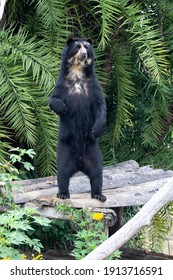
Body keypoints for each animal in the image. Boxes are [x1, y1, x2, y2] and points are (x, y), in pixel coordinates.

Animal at [48, 38, 106, 202]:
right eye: (77, 47)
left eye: (87, 47)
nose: (84, 53)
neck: (77, 72)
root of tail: (79, 163)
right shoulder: (62, 84)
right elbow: (53, 99)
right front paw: (62, 107)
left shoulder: (93, 85)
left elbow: (100, 105)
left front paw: (96, 130)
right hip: (65, 149)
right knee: (62, 173)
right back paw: (63, 193)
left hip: (94, 151)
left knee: (97, 173)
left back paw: (99, 195)